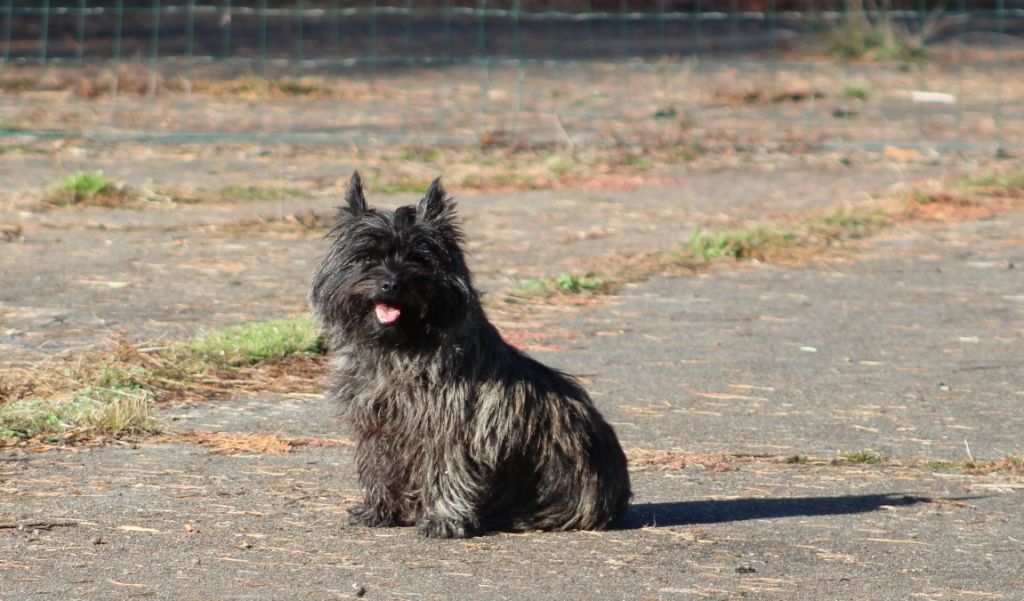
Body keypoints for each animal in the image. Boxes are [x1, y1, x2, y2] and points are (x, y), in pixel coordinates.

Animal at [309, 172, 630, 536]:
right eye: (367, 257)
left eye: (419, 259)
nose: (391, 284)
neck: (402, 347)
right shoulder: (378, 428)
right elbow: (379, 468)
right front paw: (379, 511)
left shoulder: (453, 428)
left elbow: (448, 471)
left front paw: (443, 519)